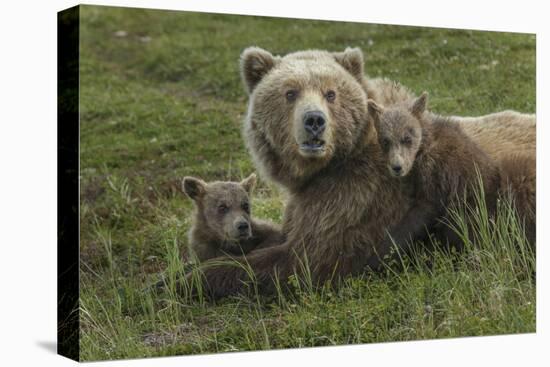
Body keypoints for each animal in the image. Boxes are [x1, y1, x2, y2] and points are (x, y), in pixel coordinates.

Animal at [191, 47, 540, 300]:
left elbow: (306, 260)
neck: (326, 167)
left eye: (331, 93)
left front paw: (188, 278)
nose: (314, 121)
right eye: (290, 93)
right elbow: (282, 234)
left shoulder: (358, 195)